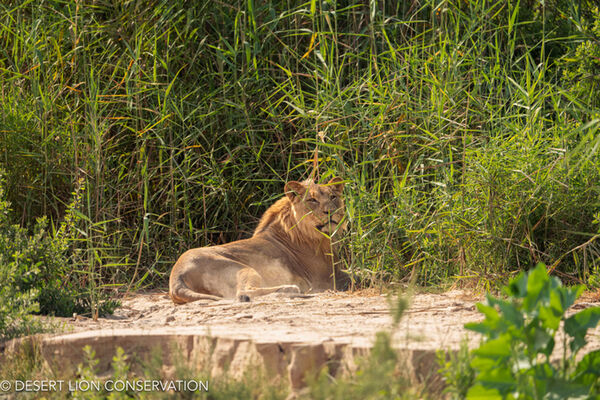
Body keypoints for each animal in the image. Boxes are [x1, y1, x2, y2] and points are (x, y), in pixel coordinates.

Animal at [168, 177, 346, 304]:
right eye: (312, 200)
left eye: (333, 197)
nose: (331, 211)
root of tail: (177, 274)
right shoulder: (326, 279)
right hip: (244, 268)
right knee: (243, 293)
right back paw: (291, 288)